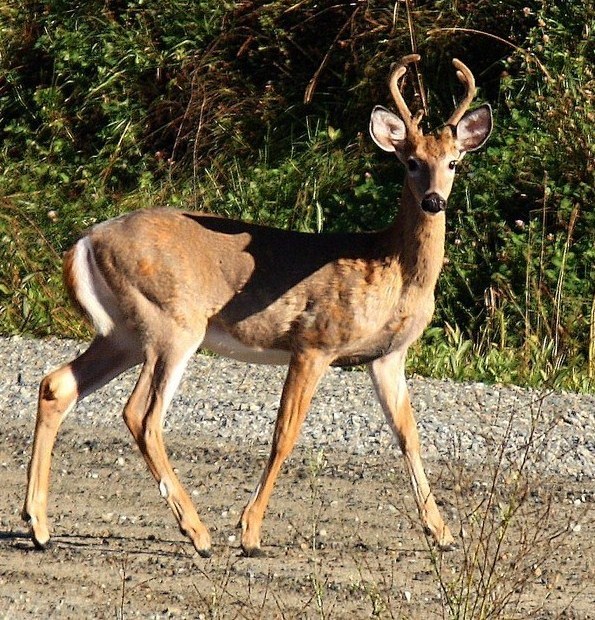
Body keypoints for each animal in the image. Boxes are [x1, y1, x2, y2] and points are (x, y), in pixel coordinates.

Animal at [21, 54, 492, 556]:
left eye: (453, 162)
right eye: (411, 161)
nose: (434, 200)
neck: (391, 267)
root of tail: (86, 240)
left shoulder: (388, 355)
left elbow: (409, 437)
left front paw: (441, 533)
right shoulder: (315, 341)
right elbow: (284, 435)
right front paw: (250, 533)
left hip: (124, 333)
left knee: (57, 385)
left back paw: (39, 525)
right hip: (172, 322)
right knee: (141, 415)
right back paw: (199, 534)